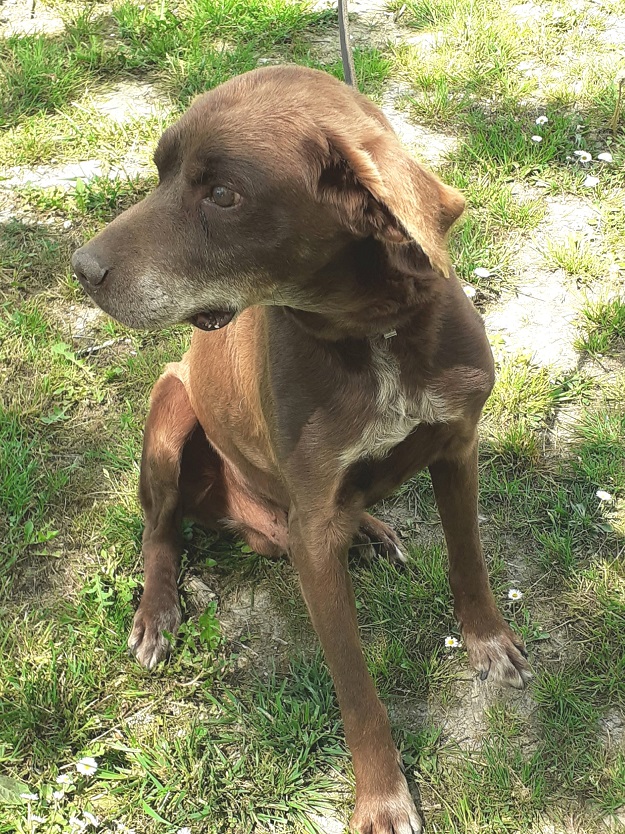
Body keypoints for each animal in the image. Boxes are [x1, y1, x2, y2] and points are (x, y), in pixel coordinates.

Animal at [74, 66, 532, 832]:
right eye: (160, 169)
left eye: (222, 194)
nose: (81, 268)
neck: (373, 334)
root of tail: (249, 522)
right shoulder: (314, 535)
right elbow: (356, 690)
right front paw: (382, 799)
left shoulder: (457, 447)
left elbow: (468, 560)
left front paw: (489, 642)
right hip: (170, 407)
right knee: (159, 530)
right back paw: (156, 613)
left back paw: (372, 530)